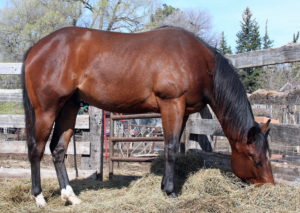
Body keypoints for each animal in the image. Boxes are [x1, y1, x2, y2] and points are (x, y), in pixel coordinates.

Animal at [21, 25, 274, 206]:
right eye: (256, 159)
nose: (269, 186)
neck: (199, 61)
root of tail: (36, 48)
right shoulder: (172, 104)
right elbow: (170, 148)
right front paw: (170, 192)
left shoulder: (182, 111)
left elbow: (173, 148)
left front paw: (164, 186)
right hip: (47, 110)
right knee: (36, 149)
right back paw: (39, 197)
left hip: (69, 107)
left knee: (58, 150)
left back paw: (70, 196)